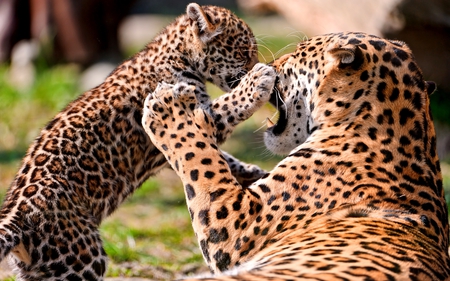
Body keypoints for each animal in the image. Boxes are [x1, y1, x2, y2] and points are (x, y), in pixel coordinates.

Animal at [0, 3, 276, 278]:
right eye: (244, 52)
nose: (260, 65)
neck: (177, 54)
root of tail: (16, 218)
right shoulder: (193, 115)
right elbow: (226, 107)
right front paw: (257, 82)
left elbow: (212, 156)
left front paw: (252, 172)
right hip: (82, 260)